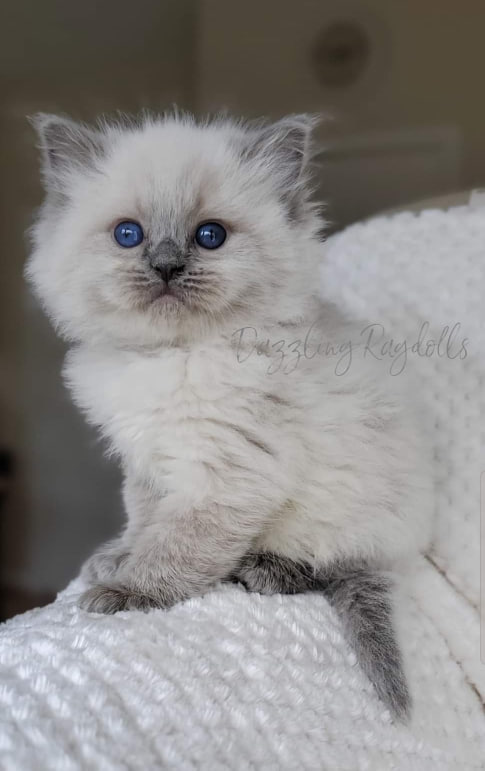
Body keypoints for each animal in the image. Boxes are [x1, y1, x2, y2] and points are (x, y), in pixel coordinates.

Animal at [24, 111, 432, 720]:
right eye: (129, 234)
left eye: (209, 236)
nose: (166, 267)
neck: (173, 356)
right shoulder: (150, 465)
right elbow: (144, 523)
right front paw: (120, 558)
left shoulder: (228, 475)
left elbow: (177, 546)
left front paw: (130, 592)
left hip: (344, 513)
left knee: (339, 565)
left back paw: (264, 569)